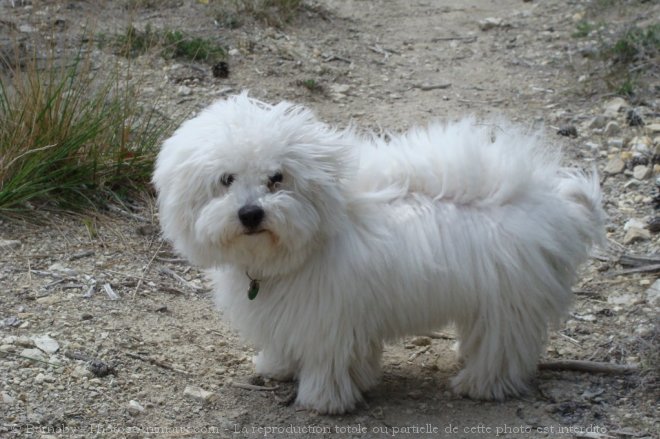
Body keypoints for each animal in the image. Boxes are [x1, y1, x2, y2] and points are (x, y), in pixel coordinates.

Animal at [152, 93, 604, 416]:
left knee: (504, 350)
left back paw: (479, 385)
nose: (250, 213)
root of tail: (554, 201)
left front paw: (323, 400)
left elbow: (326, 362)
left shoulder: (329, 320)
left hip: (508, 301)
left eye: (276, 178)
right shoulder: (303, 315)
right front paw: (277, 367)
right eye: (226, 179)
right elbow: (291, 346)